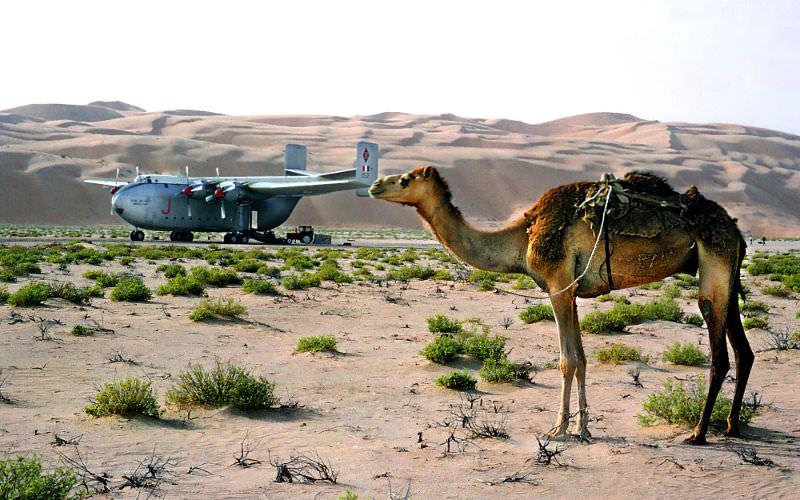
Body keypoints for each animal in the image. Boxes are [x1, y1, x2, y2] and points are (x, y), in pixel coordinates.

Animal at [372, 166, 752, 444]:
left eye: (404, 179)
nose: (375, 184)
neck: (522, 235)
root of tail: (735, 228)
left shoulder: (557, 287)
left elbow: (566, 361)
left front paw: (559, 429)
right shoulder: (571, 291)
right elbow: (581, 359)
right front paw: (583, 427)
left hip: (715, 264)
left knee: (719, 352)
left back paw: (698, 433)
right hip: (728, 275)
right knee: (743, 351)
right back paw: (732, 425)